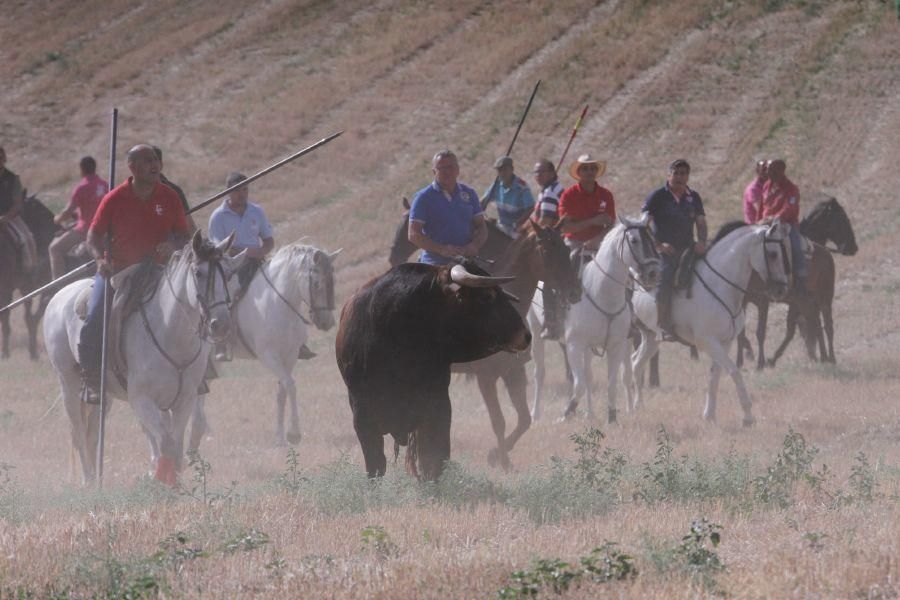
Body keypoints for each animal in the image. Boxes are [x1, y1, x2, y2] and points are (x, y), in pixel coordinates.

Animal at [43, 232, 243, 486]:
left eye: (228, 273)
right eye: (198, 273)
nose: (221, 324)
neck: (170, 332)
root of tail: (58, 297)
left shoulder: (184, 400)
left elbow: (177, 444)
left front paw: (173, 483)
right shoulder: (142, 399)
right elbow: (166, 443)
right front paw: (158, 481)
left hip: (102, 395)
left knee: (93, 434)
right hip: (68, 383)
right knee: (78, 431)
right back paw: (88, 480)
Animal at [190, 241, 342, 448]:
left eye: (332, 281)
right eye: (317, 283)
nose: (327, 322)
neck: (278, 304)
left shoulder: (290, 355)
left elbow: (282, 392)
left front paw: (281, 437)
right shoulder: (269, 356)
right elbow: (290, 385)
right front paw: (294, 433)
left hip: (214, 361)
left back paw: (206, 432)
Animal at [334, 260, 532, 480]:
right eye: (486, 296)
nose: (526, 335)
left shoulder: (437, 411)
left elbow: (434, 461)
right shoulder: (363, 419)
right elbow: (376, 467)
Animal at [628, 221, 792, 426]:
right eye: (773, 254)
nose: (781, 290)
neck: (719, 285)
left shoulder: (724, 342)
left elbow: (715, 375)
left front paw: (710, 415)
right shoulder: (707, 341)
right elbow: (734, 371)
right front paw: (748, 416)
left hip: (651, 337)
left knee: (636, 363)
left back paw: (637, 406)